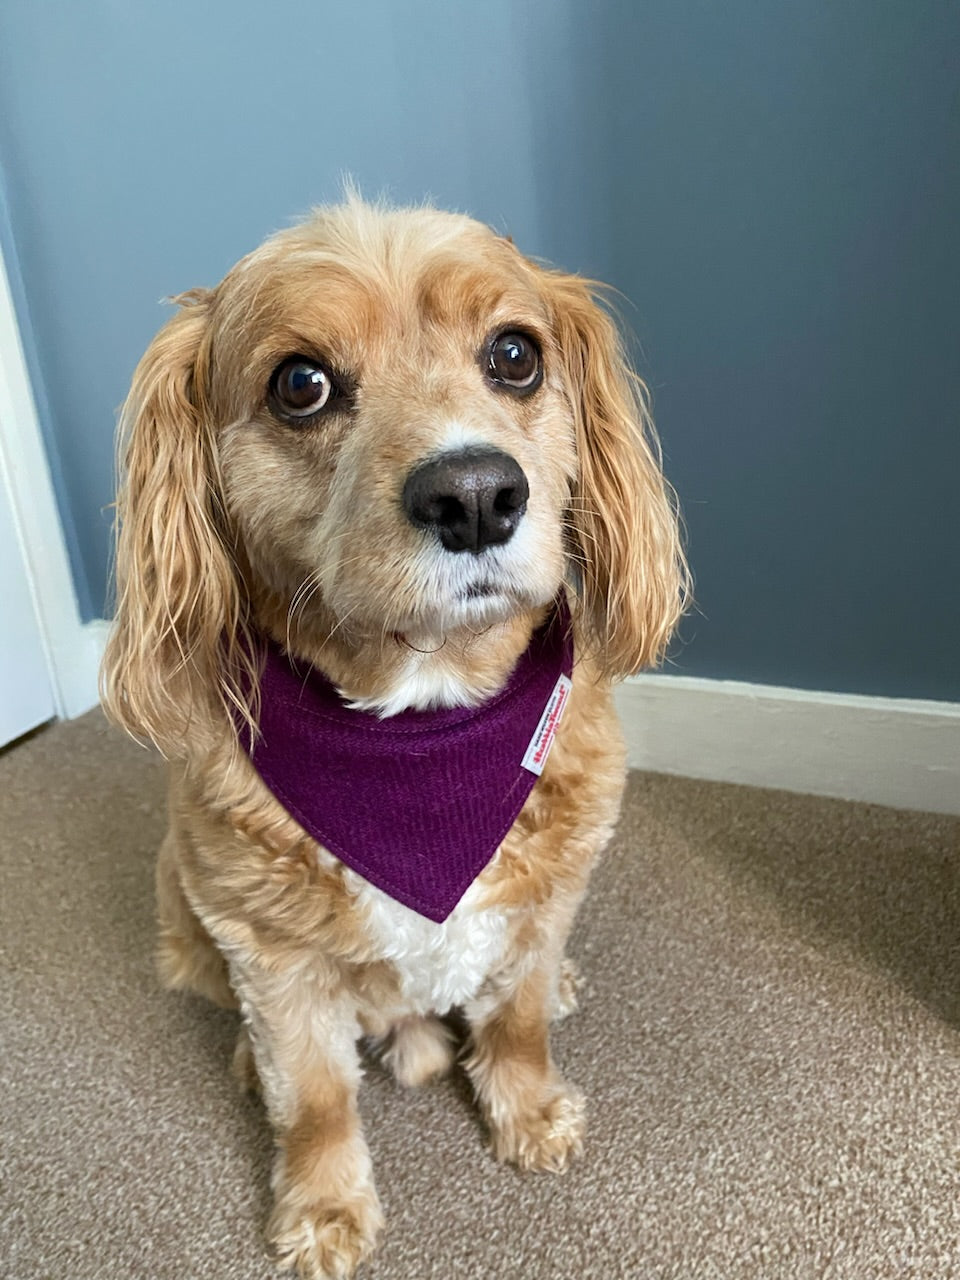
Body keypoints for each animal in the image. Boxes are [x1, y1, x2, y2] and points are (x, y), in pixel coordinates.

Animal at [101, 194, 691, 1274]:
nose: (477, 495)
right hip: (182, 899)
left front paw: (528, 1109)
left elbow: (519, 1020)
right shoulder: (270, 952)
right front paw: (324, 1206)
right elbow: (314, 1096)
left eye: (515, 354)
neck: (425, 727)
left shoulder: (546, 893)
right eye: (301, 383)